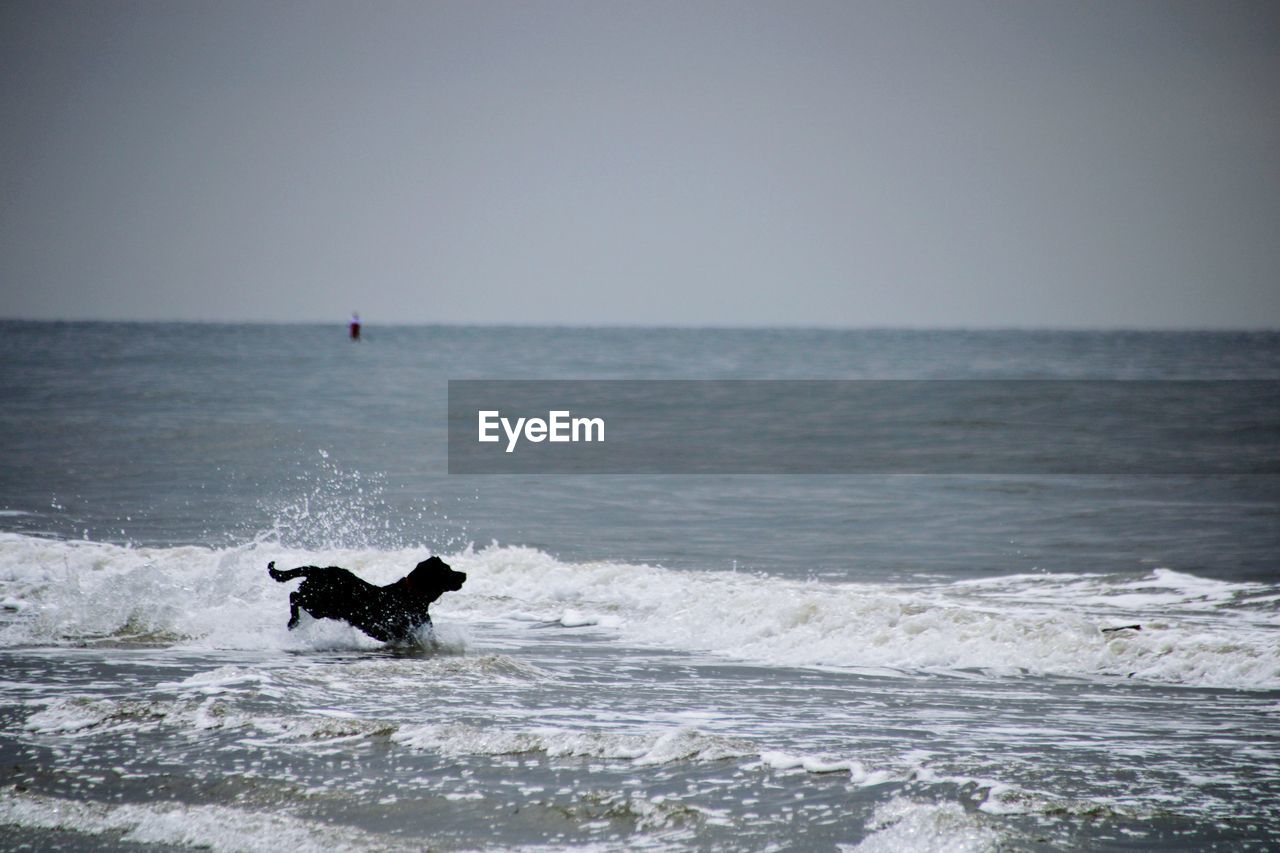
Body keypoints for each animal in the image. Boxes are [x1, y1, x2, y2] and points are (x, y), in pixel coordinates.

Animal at [268, 555, 465, 640]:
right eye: (446, 570)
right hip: (318, 604)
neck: (412, 595)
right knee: (294, 596)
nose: (464, 574)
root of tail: (318, 570)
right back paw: (293, 621)